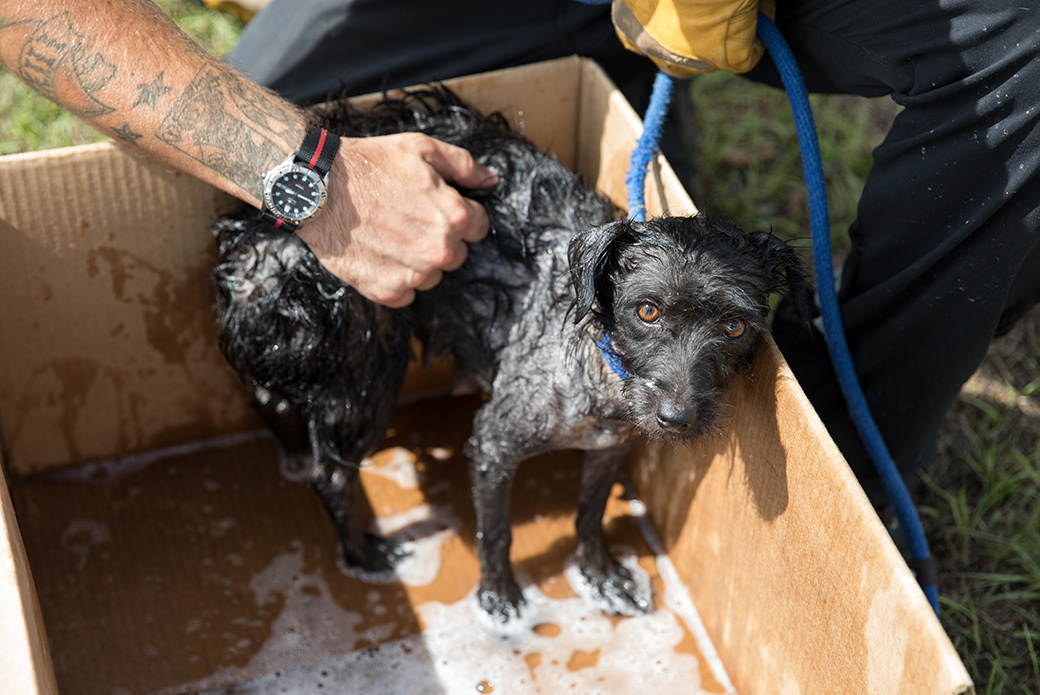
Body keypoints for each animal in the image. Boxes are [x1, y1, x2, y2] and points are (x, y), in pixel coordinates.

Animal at [211, 88, 811, 624]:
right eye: (646, 311)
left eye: (735, 326)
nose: (677, 418)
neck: (600, 368)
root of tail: (253, 250)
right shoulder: (495, 443)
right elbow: (495, 532)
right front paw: (498, 598)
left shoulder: (611, 444)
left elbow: (590, 512)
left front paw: (600, 575)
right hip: (368, 364)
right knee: (330, 475)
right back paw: (362, 553)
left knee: (270, 401)